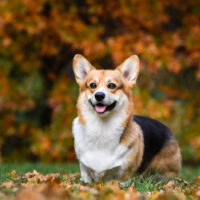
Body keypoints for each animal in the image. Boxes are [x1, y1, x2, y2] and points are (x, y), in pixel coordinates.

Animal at [72, 54, 181, 184]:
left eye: (112, 85)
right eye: (92, 85)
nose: (99, 95)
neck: (102, 128)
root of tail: (168, 128)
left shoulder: (124, 176)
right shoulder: (84, 169)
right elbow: (86, 177)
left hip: (165, 172)